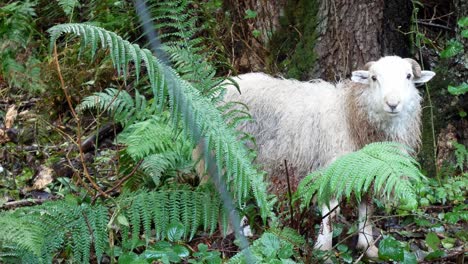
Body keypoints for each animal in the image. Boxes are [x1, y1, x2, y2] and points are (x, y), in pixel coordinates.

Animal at [223, 56, 436, 258]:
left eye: (408, 76)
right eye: (374, 78)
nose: (392, 104)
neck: (351, 115)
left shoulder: (368, 172)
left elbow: (367, 210)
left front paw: (368, 247)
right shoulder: (332, 169)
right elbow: (331, 214)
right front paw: (323, 250)